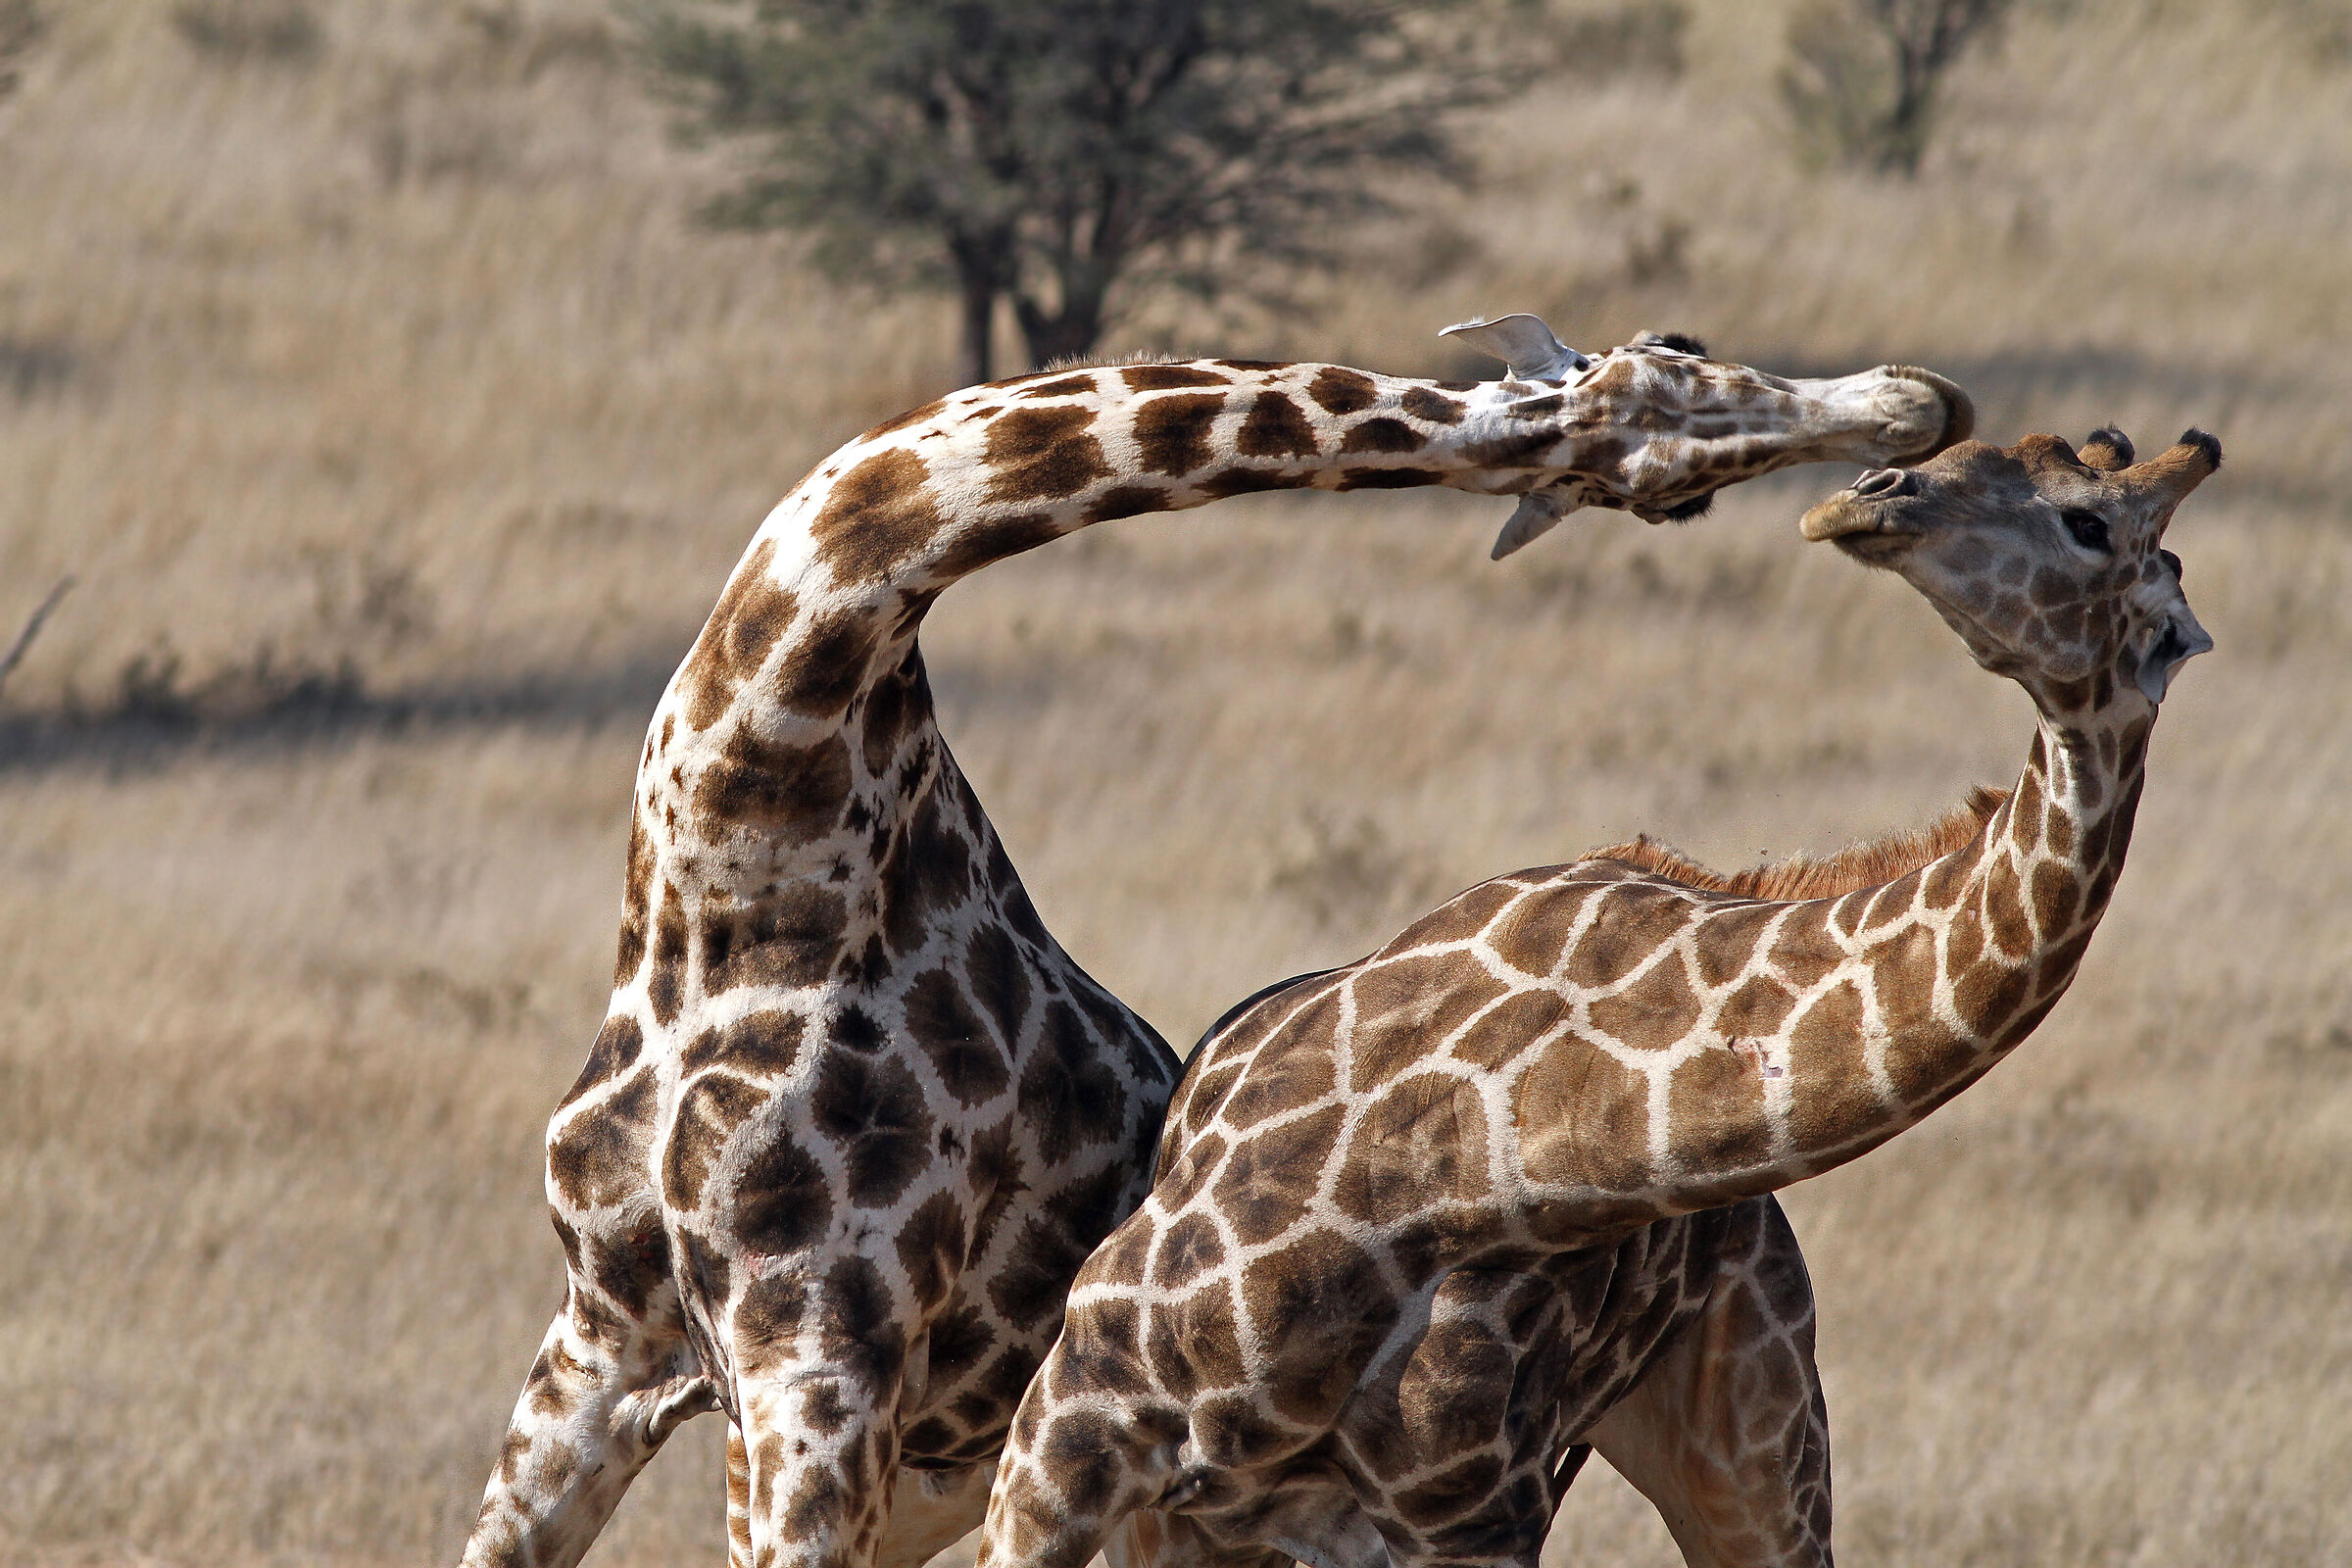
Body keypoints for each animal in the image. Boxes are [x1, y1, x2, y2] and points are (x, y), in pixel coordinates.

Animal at [976, 426, 2219, 1568]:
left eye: (2090, 523)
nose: (1872, 494)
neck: (1481, 1154)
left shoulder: (1467, 1519)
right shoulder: (1070, 1426)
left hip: (1757, 1439)